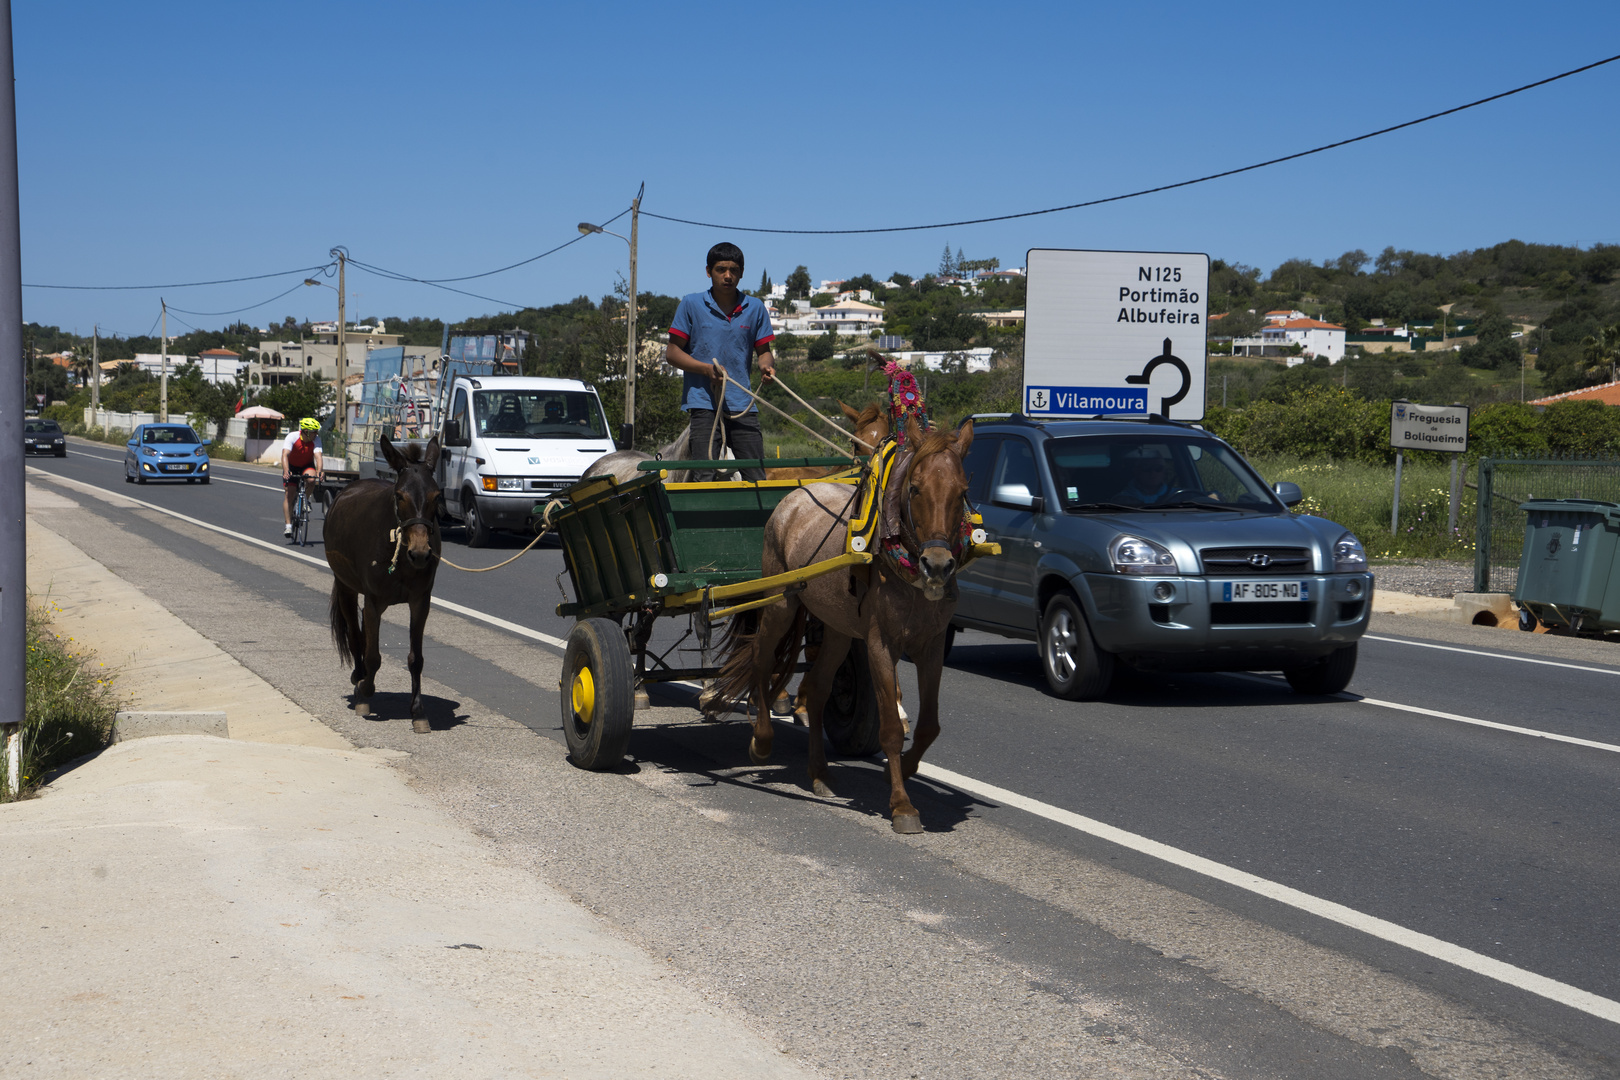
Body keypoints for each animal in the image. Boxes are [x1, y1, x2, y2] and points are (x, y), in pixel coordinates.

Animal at [324, 433, 443, 731]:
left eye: (437, 496)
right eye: (400, 496)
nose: (421, 553)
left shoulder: (420, 602)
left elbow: (416, 659)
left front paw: (418, 712)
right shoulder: (374, 601)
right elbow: (373, 655)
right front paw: (364, 693)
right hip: (345, 587)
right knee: (356, 637)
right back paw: (359, 678)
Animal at [719, 417, 972, 835]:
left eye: (962, 491)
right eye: (915, 488)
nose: (937, 565)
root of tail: (796, 494)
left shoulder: (931, 645)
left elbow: (929, 726)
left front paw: (904, 769)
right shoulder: (880, 644)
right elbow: (890, 729)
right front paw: (902, 804)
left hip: (836, 628)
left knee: (819, 689)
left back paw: (819, 772)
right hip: (780, 605)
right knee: (761, 659)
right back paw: (762, 740)